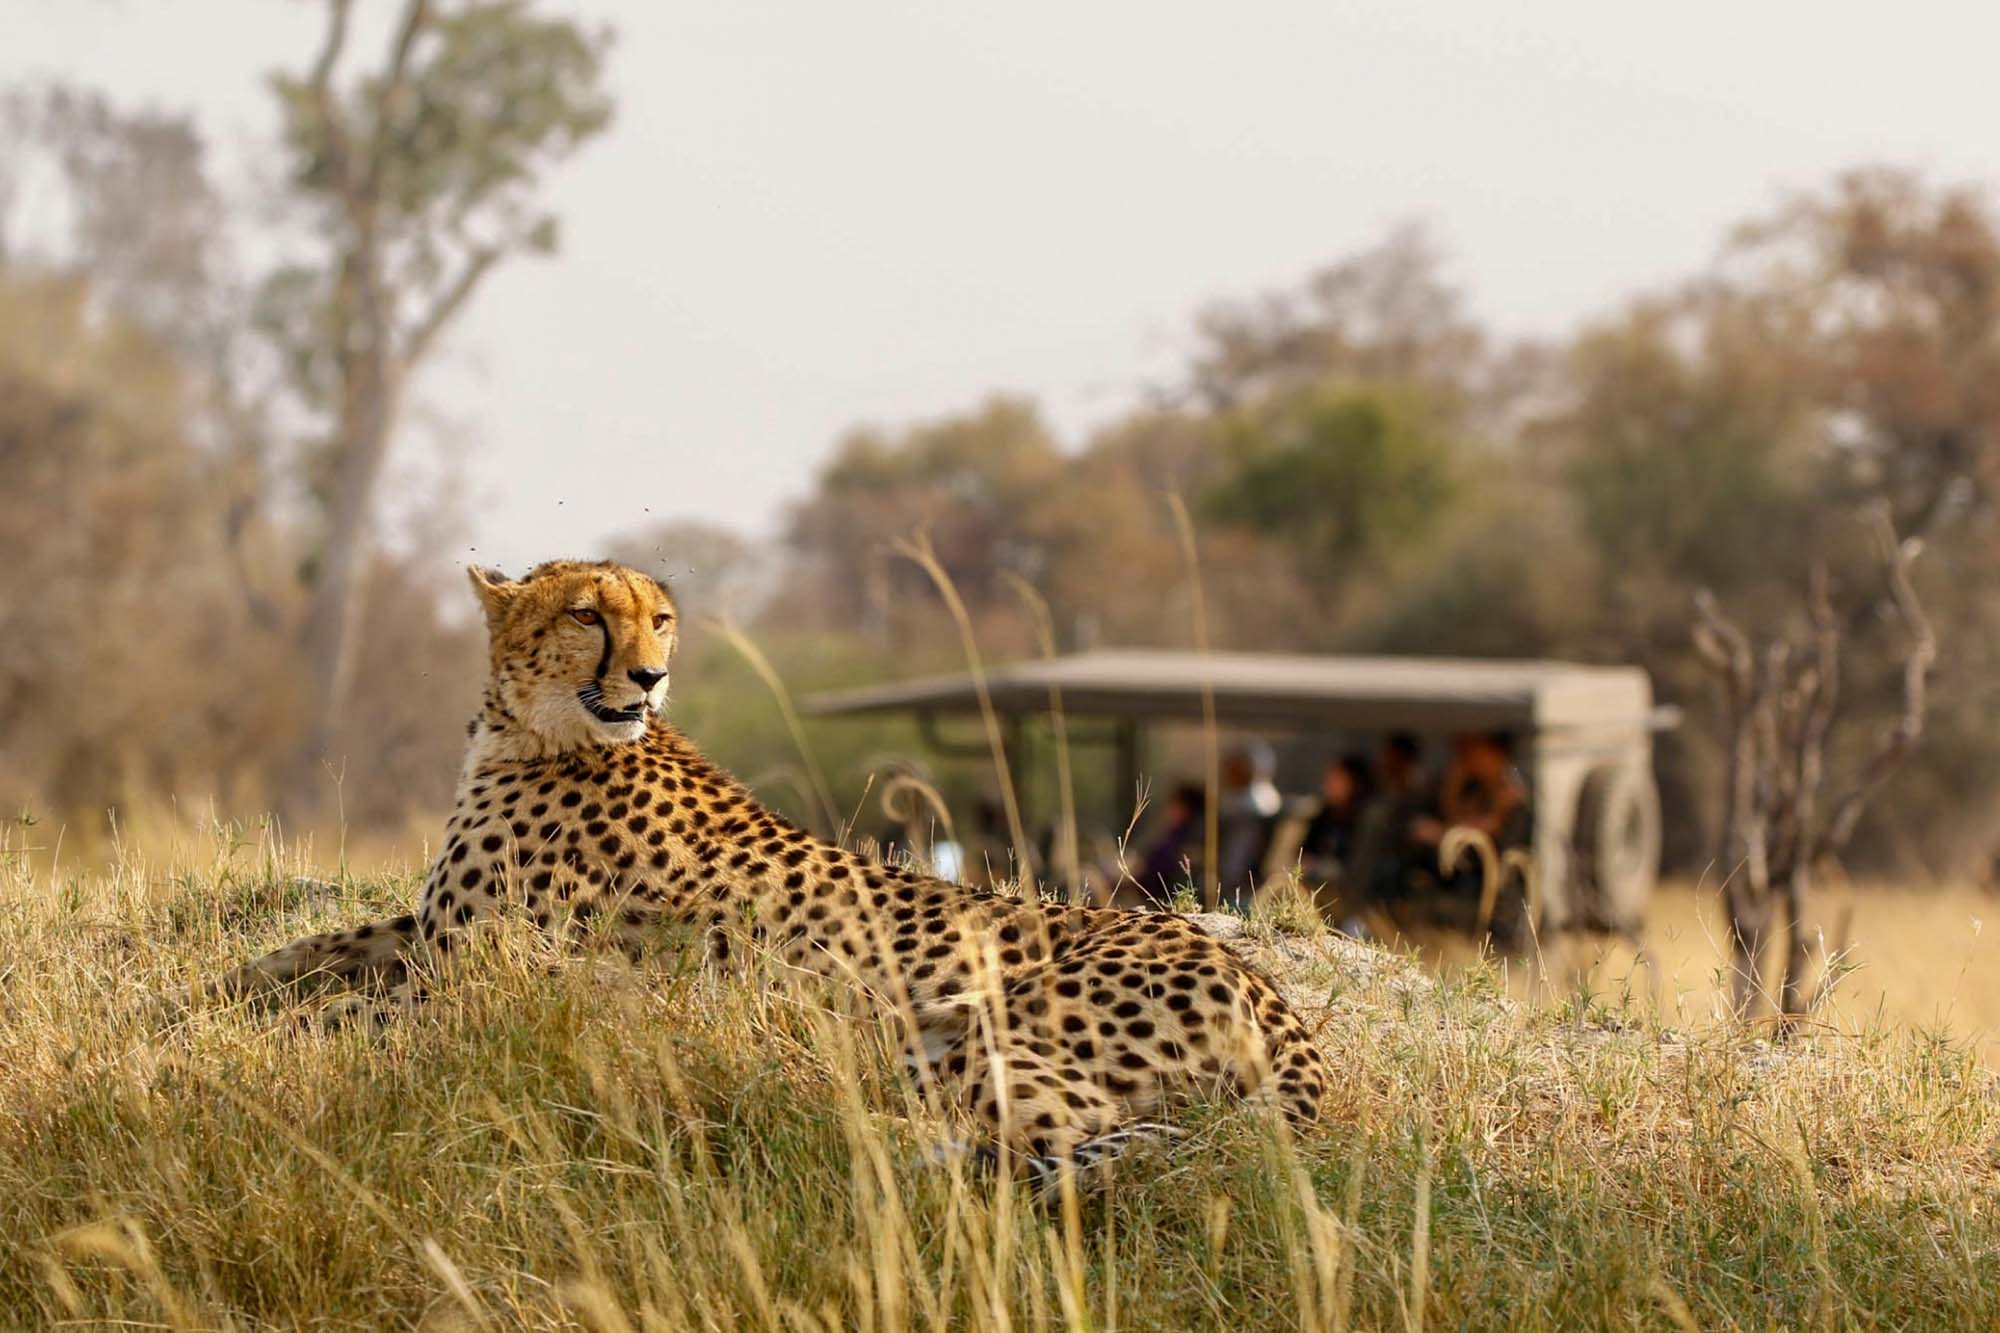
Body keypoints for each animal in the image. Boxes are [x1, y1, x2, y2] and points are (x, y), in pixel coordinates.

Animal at [216, 559, 1329, 1178]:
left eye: (659, 618)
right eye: (587, 614)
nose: (650, 673)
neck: (534, 728)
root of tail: (1261, 983)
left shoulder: (481, 967)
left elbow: (345, 1014)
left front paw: (248, 1033)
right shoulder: (432, 928)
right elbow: (305, 951)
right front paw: (219, 989)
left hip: (965, 1028)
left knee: (1069, 1132)